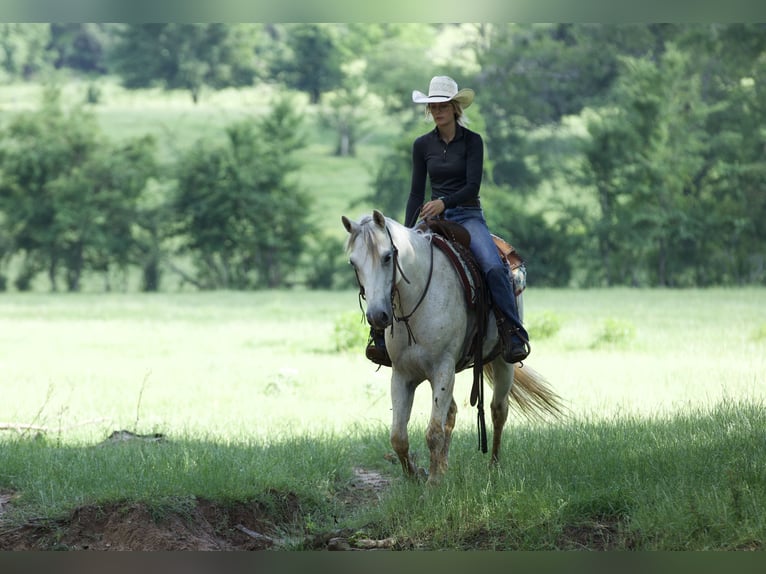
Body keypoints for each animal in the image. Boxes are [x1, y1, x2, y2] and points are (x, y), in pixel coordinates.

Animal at [342, 212, 564, 486]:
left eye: (387, 256)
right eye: (353, 263)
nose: (377, 316)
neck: (416, 301)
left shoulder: (443, 368)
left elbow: (433, 432)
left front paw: (433, 482)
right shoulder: (402, 375)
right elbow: (398, 437)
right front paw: (416, 475)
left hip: (503, 362)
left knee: (498, 411)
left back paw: (493, 467)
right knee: (452, 413)